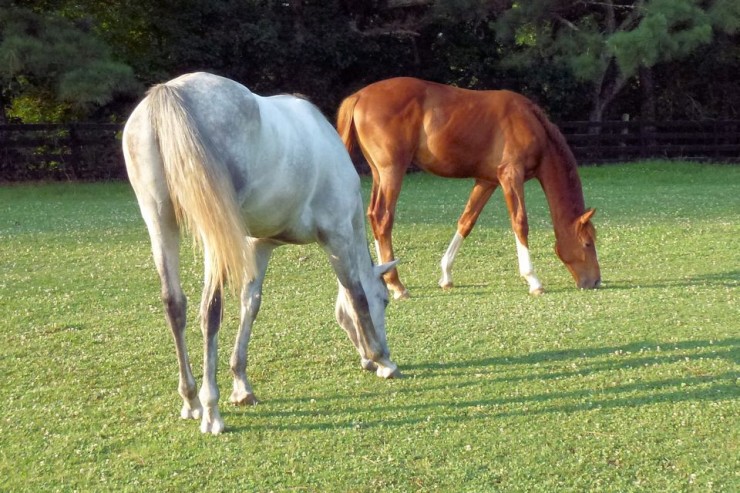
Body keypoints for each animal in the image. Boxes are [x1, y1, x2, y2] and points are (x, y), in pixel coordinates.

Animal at [123, 71, 398, 432]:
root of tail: (172, 92)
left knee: (175, 304)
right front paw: (383, 359)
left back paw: (191, 400)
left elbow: (250, 304)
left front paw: (241, 384)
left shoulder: (260, 245)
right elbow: (356, 295)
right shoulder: (337, 236)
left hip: (159, 219)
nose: (371, 359)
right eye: (385, 300)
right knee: (210, 310)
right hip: (214, 234)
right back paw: (211, 410)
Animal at [336, 78, 600, 296]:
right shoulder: (511, 176)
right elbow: (520, 223)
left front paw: (446, 275)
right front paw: (533, 280)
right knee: (382, 218)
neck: (531, 123)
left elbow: (466, 221)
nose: (596, 281)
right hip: (392, 171)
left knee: (371, 216)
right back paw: (396, 285)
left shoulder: (487, 181)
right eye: (587, 243)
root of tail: (359, 96)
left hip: (379, 174)